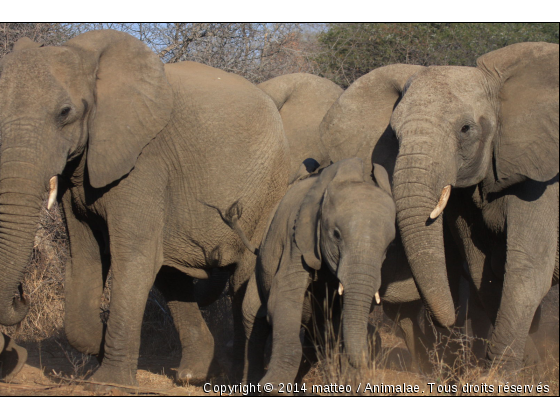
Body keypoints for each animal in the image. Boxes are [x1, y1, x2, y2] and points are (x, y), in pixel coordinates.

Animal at [0, 31, 288, 388]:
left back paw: (238, 378)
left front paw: (109, 384)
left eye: (65, 112)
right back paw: (193, 375)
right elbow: (85, 257)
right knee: (172, 275)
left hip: (269, 190)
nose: (22, 295)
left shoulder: (145, 161)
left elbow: (134, 256)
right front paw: (98, 345)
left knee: (242, 279)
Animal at [240, 158, 394, 390]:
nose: (371, 354)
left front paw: (349, 384)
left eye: (388, 247)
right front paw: (274, 389)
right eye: (336, 235)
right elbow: (284, 297)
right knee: (252, 320)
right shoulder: (297, 238)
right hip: (260, 267)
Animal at [322, 43, 556, 370]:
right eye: (393, 135)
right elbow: (482, 271)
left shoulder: (542, 174)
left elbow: (527, 269)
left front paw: (502, 374)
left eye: (466, 129)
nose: (448, 321)